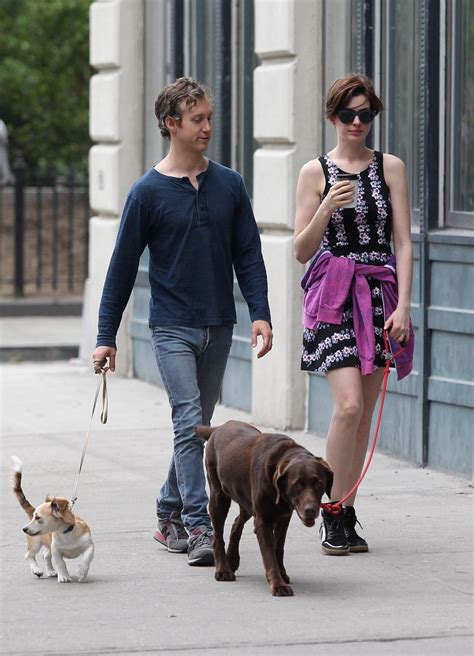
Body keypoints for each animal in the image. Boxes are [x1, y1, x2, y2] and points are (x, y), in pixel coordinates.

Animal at [12, 456, 94, 584]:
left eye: (38, 517)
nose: (24, 529)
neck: (66, 532)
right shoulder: (56, 550)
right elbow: (61, 563)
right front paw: (64, 576)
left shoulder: (89, 545)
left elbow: (87, 558)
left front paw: (81, 572)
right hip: (35, 542)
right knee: (29, 555)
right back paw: (37, 570)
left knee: (45, 556)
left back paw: (51, 571)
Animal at [196, 420, 334, 596]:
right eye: (296, 485)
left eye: (319, 484)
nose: (310, 510)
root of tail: (221, 426)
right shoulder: (263, 522)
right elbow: (269, 554)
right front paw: (278, 584)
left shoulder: (284, 517)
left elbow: (278, 548)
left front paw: (282, 574)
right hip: (219, 497)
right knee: (217, 537)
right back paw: (223, 569)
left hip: (246, 502)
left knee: (237, 523)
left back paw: (232, 559)